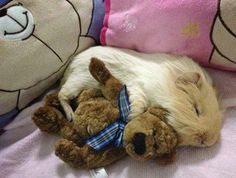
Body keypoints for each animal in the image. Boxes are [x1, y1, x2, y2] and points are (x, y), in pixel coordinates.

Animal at [58, 46, 222, 147]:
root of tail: (69, 67)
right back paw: (70, 115)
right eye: (196, 109)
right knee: (62, 95)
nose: (209, 141)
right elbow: (138, 105)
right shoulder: (138, 88)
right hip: (76, 83)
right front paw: (130, 117)